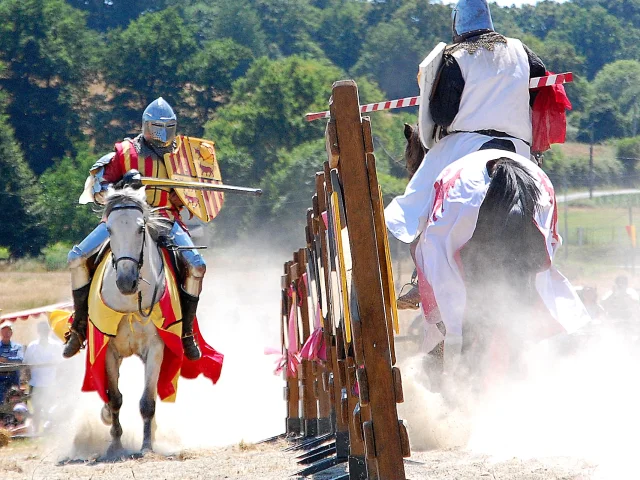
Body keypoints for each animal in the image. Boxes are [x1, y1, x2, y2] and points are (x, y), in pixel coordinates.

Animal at [98, 187, 172, 454]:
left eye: (141, 229)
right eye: (109, 230)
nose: (125, 281)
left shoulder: (155, 348)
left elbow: (147, 401)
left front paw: (147, 445)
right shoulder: (108, 351)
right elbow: (115, 398)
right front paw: (115, 444)